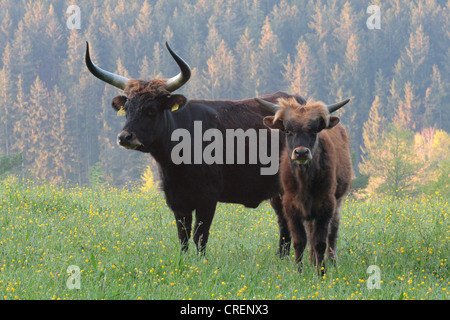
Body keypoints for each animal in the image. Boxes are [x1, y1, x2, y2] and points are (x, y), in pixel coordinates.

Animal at [255, 96, 354, 274]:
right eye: (288, 130)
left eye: (314, 130)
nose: (301, 152)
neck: (304, 182)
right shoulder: (290, 206)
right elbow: (300, 241)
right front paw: (299, 271)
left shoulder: (326, 205)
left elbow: (320, 241)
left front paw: (321, 272)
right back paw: (311, 260)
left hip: (338, 202)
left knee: (332, 233)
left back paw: (331, 261)